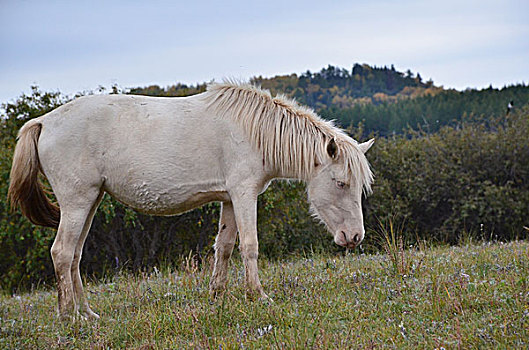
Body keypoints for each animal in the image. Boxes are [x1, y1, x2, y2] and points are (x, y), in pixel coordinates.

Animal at [7, 82, 372, 320]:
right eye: (341, 183)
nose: (354, 237)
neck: (254, 131)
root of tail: (43, 121)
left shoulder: (229, 199)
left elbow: (224, 247)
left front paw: (217, 296)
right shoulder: (243, 194)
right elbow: (249, 246)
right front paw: (258, 295)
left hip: (90, 202)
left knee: (74, 256)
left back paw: (87, 313)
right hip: (77, 203)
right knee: (61, 253)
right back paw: (69, 316)